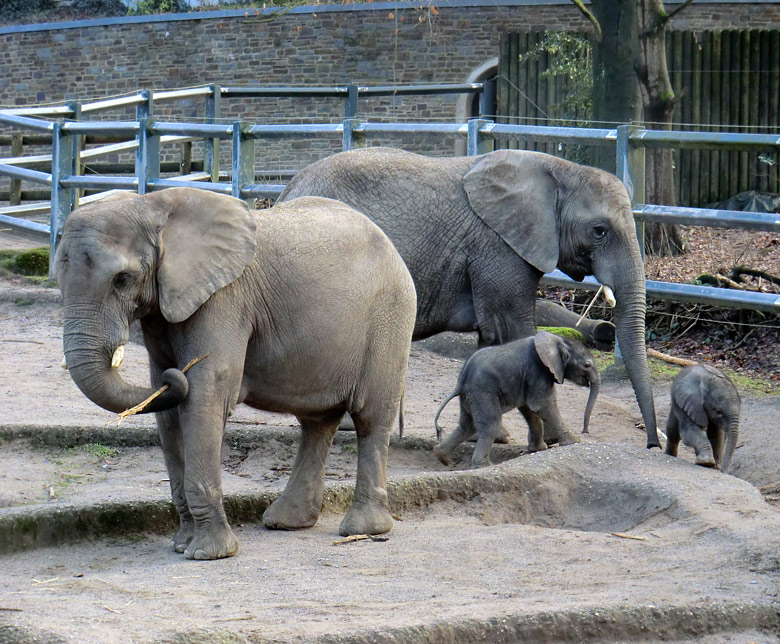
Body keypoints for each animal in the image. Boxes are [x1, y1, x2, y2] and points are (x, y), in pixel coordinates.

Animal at [54, 187, 418, 560]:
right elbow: (167, 408)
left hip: (391, 316)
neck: (153, 205)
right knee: (318, 422)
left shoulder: (223, 299)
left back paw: (364, 529)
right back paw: (286, 521)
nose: (175, 373)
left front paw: (207, 554)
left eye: (122, 280)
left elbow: (205, 393)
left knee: (370, 418)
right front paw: (182, 545)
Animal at [278, 147, 660, 448]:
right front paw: (553, 441)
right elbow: (514, 332)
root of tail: (287, 190)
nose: (653, 445)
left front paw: (491, 435)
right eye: (599, 231)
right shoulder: (497, 247)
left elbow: (492, 341)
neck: (558, 169)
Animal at [430, 332, 600, 468]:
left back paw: (441, 457)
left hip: (469, 395)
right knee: (490, 424)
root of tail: (462, 379)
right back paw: (484, 466)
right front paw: (575, 441)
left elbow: (529, 409)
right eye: (587, 365)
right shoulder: (538, 371)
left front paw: (539, 449)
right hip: (482, 392)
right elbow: (542, 405)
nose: (585, 431)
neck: (558, 341)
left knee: (467, 425)